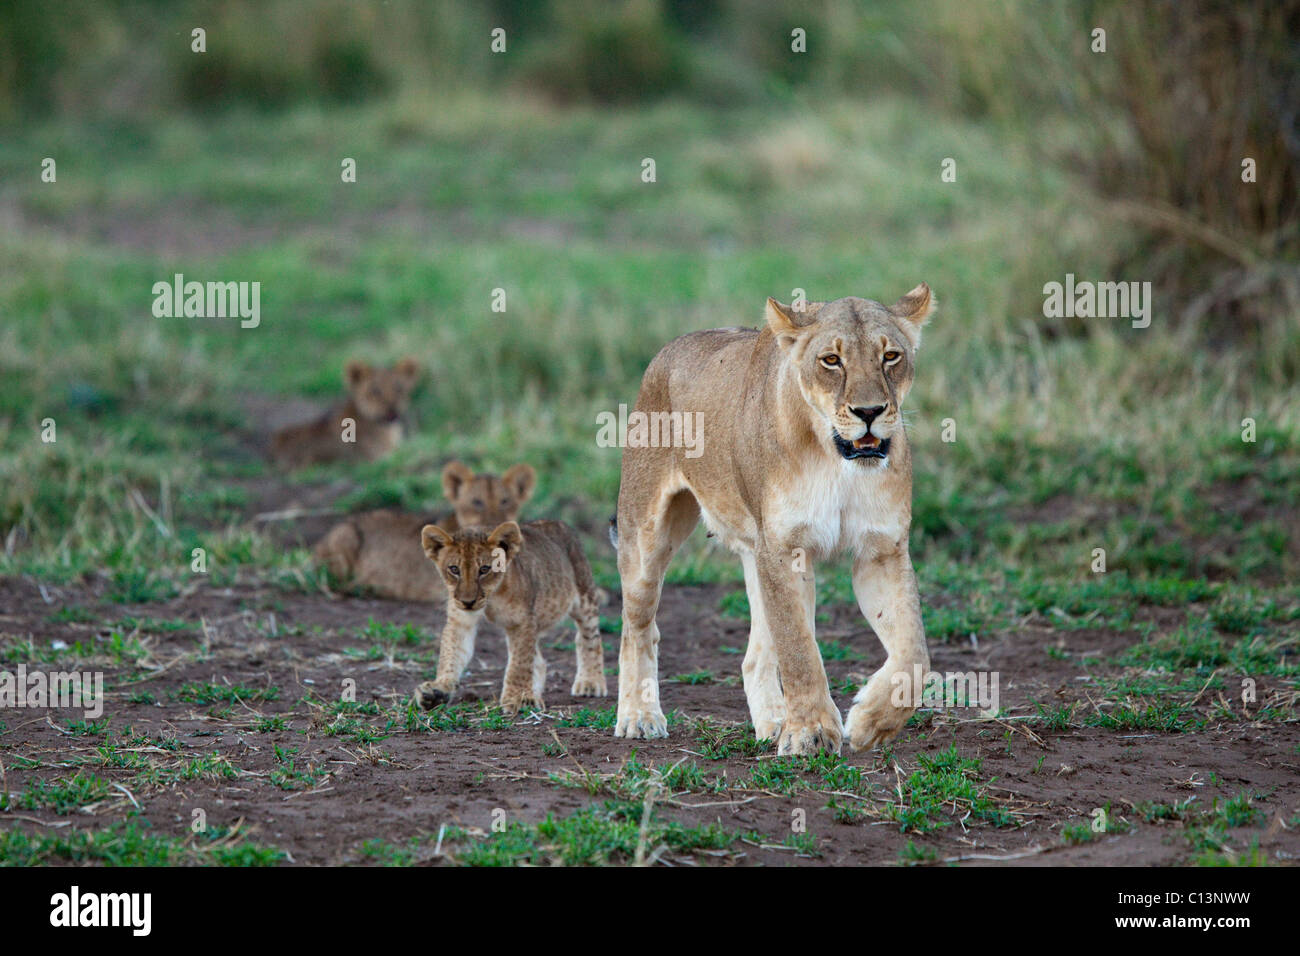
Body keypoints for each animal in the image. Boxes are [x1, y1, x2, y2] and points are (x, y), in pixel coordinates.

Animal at [413, 519, 607, 715]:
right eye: (454, 569)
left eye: (484, 569)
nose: (468, 602)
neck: (492, 597)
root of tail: (559, 523)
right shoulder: (460, 620)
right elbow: (450, 655)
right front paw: (438, 690)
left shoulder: (521, 621)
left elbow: (519, 663)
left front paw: (518, 699)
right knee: (539, 660)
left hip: (584, 597)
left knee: (589, 638)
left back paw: (590, 682)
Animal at [610, 285, 935, 756]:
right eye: (831, 360)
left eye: (890, 355)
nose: (870, 411)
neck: (837, 460)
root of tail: (668, 351)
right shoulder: (784, 549)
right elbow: (799, 649)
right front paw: (810, 733)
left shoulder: (881, 550)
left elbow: (914, 656)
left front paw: (870, 723)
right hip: (645, 536)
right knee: (637, 627)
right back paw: (638, 717)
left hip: (754, 551)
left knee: (754, 655)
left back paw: (774, 722)